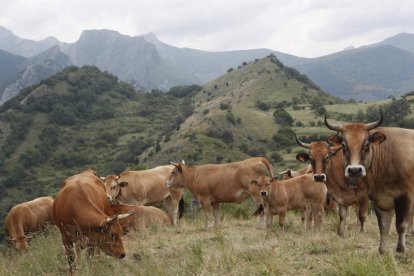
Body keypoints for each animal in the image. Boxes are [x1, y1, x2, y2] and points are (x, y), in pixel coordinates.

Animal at [324, 111, 414, 253]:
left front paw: (400, 250)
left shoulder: (405, 197)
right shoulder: (377, 199)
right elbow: (383, 227)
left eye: (366, 144)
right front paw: (382, 250)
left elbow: (400, 225)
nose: (354, 170)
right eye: (343, 145)